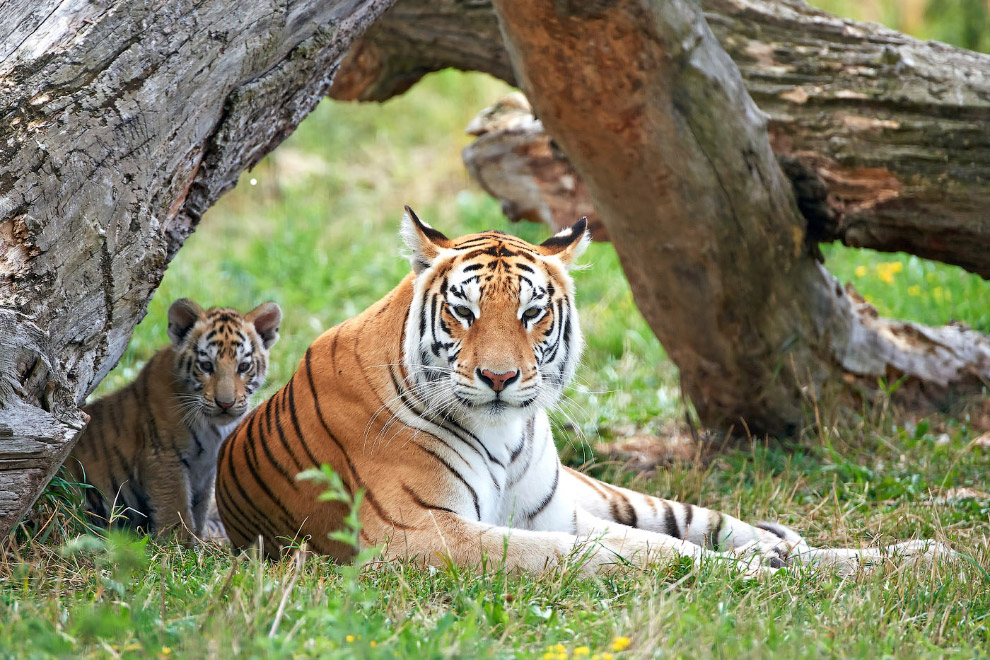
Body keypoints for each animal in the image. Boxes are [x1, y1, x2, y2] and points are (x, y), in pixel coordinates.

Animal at [219, 209, 952, 576]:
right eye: (463, 312)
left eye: (531, 313)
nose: (499, 378)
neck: (505, 435)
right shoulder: (415, 535)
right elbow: (619, 552)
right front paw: (736, 572)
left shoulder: (553, 513)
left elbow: (647, 540)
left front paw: (758, 563)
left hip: (612, 493)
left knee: (729, 525)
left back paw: (918, 555)